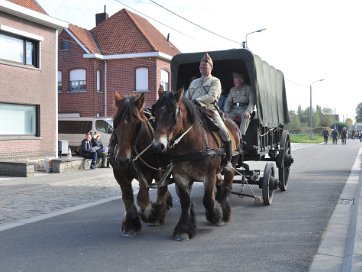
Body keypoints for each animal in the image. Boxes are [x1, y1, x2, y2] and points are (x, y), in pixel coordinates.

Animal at [109, 92, 173, 237]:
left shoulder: (148, 172)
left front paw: (149, 214)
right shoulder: (119, 174)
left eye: (137, 123)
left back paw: (158, 213)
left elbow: (142, 196)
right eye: (115, 122)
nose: (122, 159)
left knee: (162, 188)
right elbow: (127, 197)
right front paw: (130, 223)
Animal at [152, 86, 240, 240]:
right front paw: (184, 229)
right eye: (155, 111)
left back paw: (225, 212)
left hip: (231, 165)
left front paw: (216, 215)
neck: (190, 145)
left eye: (174, 113)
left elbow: (207, 200)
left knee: (226, 187)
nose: (158, 146)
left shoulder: (209, 175)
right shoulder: (180, 177)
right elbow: (185, 201)